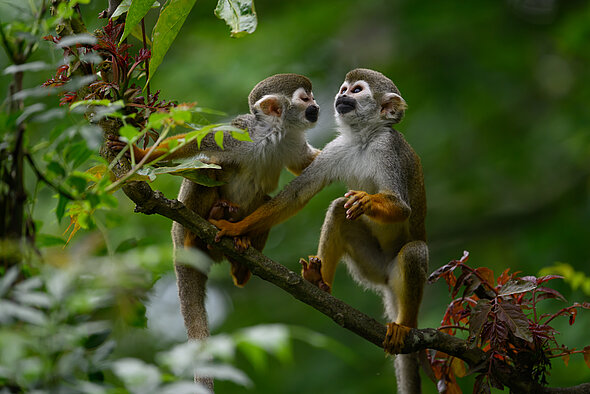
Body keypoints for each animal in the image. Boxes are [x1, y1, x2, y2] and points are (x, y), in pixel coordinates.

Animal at [107, 73, 322, 388]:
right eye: (305, 99)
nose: (317, 107)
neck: (273, 134)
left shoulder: (293, 142)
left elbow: (309, 164)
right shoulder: (239, 132)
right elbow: (200, 142)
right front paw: (139, 152)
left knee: (265, 200)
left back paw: (240, 261)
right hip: (183, 222)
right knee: (207, 168)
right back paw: (195, 234)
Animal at [213, 69, 430, 392]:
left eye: (356, 90)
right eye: (343, 89)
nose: (342, 97)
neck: (363, 139)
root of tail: (387, 282)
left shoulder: (388, 147)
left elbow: (403, 209)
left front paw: (367, 201)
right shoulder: (336, 147)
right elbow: (297, 195)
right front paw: (237, 227)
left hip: (393, 269)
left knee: (414, 251)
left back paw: (406, 325)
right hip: (370, 268)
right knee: (340, 210)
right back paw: (318, 281)